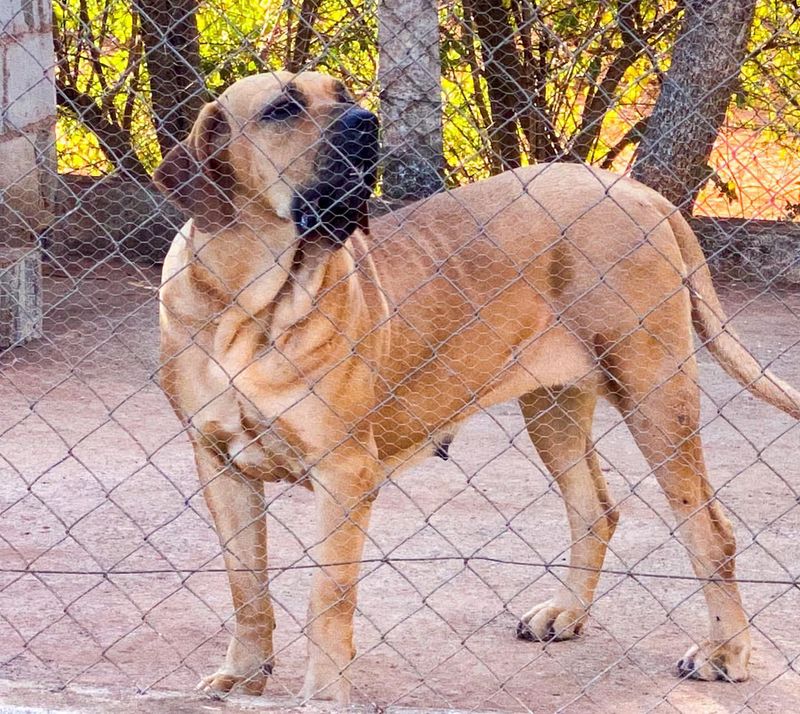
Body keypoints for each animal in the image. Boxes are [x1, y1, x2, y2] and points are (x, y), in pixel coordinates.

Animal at [155, 72, 800, 700]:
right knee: (595, 510)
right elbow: (245, 585)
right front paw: (242, 674)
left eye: (343, 94)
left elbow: (328, 597)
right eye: (282, 109)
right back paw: (565, 613)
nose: (367, 122)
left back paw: (725, 651)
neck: (248, 307)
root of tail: (643, 194)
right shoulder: (218, 462)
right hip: (554, 409)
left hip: (656, 398)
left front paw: (324, 694)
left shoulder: (344, 472)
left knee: (711, 533)